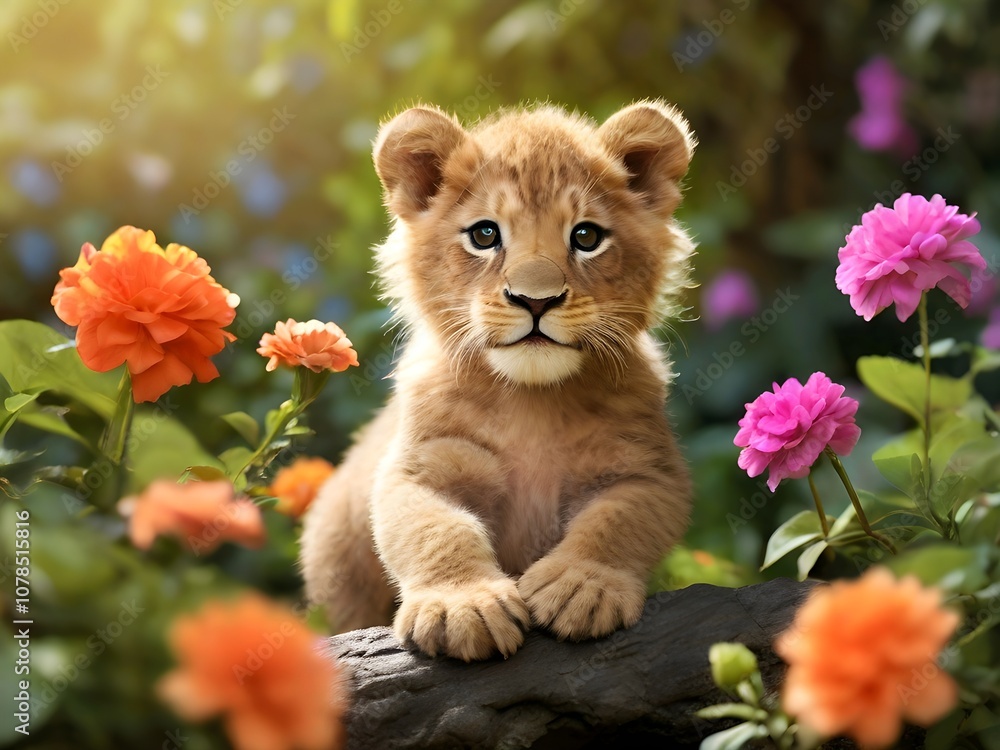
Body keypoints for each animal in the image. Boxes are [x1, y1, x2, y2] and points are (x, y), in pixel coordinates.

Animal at [300, 100, 695, 662]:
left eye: (586, 237)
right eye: (485, 235)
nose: (536, 300)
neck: (532, 400)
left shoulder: (645, 470)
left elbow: (617, 522)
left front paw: (581, 587)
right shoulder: (420, 466)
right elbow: (436, 528)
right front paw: (461, 606)